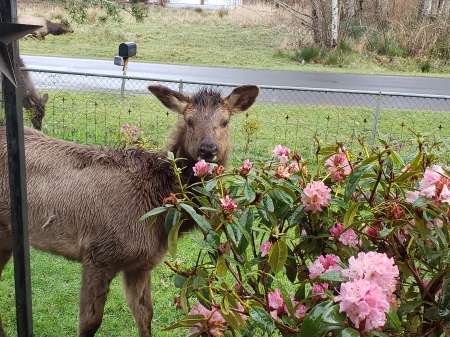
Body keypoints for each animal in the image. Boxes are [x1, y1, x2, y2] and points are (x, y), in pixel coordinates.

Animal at [0, 82, 260, 334]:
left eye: (225, 121)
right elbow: (89, 323)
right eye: (189, 120)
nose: (208, 149)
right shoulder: (98, 254)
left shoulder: (140, 264)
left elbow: (145, 317)